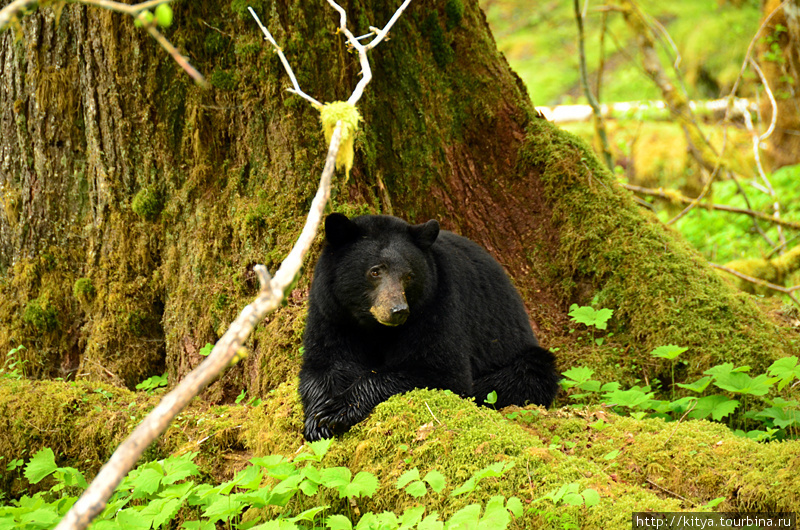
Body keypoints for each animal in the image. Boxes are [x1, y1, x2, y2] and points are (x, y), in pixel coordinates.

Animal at [296, 212, 560, 440]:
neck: (375, 327)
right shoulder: (331, 312)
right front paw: (317, 419)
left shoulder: (436, 304)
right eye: (375, 271)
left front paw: (335, 411)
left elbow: (440, 371)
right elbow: (324, 364)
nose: (398, 311)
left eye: (409, 275)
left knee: (527, 375)